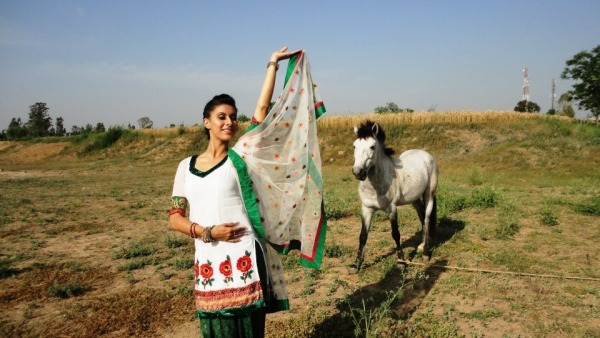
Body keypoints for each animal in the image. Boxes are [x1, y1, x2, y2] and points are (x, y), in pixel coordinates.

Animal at [350, 121, 438, 272]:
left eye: (372, 146)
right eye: (354, 146)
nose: (358, 172)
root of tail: (426, 155)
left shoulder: (392, 209)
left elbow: (395, 234)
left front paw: (401, 262)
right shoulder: (366, 209)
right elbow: (363, 236)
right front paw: (356, 264)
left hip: (429, 195)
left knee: (426, 219)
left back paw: (426, 253)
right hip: (414, 199)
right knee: (421, 216)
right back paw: (422, 246)